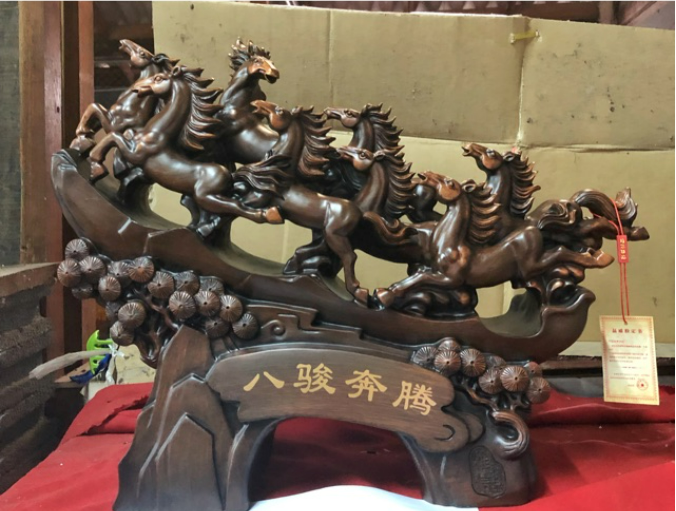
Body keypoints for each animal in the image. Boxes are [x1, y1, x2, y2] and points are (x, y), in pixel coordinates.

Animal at [87, 66, 282, 237]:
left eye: (159, 78)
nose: (136, 87)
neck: (156, 132)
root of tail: (229, 176)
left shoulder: (136, 153)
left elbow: (112, 137)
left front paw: (96, 167)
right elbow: (111, 126)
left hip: (206, 197)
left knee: (234, 207)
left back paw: (269, 215)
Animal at [375, 172, 614, 308]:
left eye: (449, 183)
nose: (425, 175)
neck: (450, 243)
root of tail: (532, 228)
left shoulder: (451, 279)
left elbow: (420, 279)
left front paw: (385, 294)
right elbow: (419, 274)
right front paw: (383, 292)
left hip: (531, 264)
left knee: (559, 252)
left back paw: (601, 258)